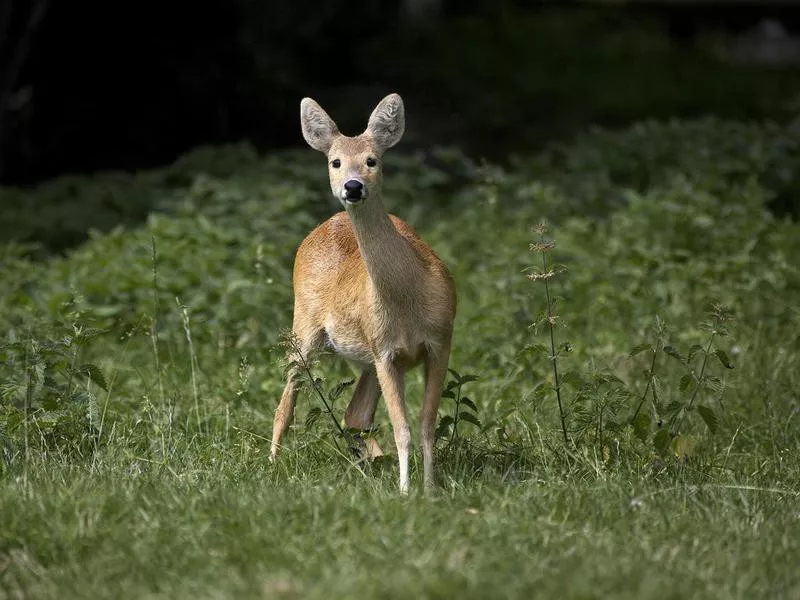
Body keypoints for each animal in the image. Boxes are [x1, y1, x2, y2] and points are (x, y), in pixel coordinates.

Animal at [268, 92, 456, 492]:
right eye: (335, 161)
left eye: (372, 160)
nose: (353, 186)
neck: (407, 301)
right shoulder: (385, 351)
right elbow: (403, 429)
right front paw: (406, 491)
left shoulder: (439, 341)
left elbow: (425, 424)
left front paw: (430, 487)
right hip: (304, 326)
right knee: (286, 401)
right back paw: (272, 463)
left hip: (367, 354)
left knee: (354, 414)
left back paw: (371, 463)